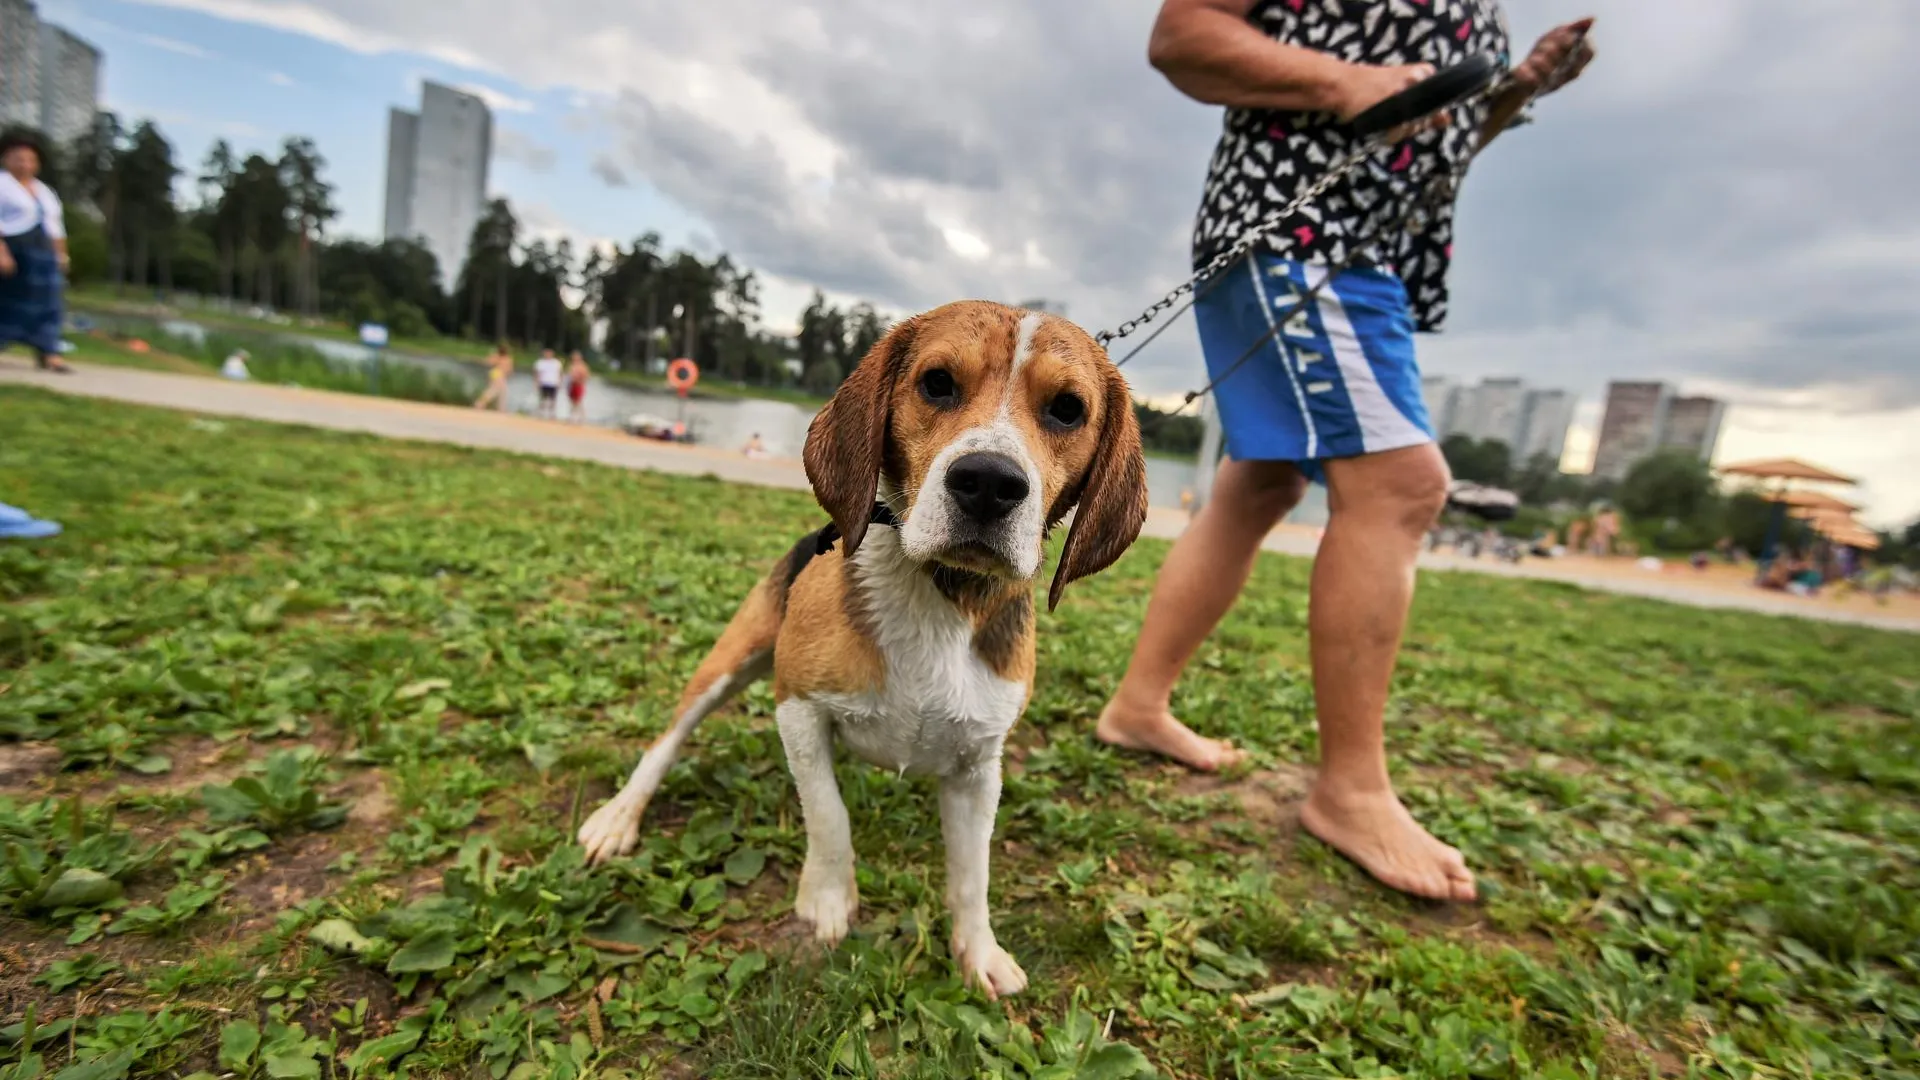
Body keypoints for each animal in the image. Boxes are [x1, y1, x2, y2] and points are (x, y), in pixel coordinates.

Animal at [576, 295, 1144, 991]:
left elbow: (973, 876)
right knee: (667, 740)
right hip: (730, 661)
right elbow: (829, 815)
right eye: (937, 383)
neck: (938, 592)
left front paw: (978, 952)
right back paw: (619, 816)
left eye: (1068, 409)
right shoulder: (799, 708)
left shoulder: (979, 770)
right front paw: (826, 903)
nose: (989, 482)